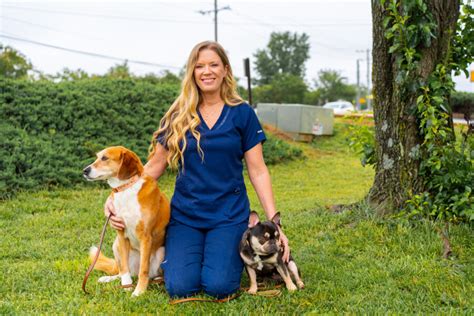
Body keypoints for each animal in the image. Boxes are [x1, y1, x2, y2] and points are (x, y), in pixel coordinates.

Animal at [83, 146, 170, 296]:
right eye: (97, 157)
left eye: (104, 158)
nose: (84, 170)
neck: (126, 188)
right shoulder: (121, 235)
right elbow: (124, 268)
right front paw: (127, 285)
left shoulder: (146, 237)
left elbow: (143, 270)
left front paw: (139, 291)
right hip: (116, 244)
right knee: (120, 269)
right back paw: (109, 278)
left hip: (161, 252)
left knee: (150, 273)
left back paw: (157, 279)